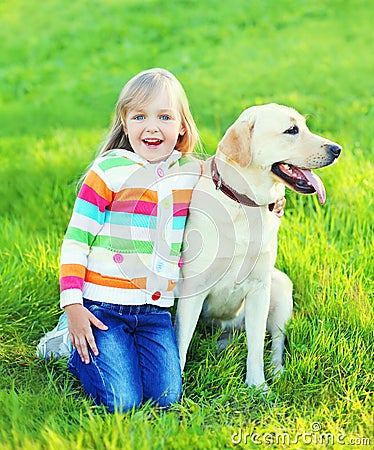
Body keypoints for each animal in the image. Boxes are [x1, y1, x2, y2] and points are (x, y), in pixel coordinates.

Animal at [175, 103, 342, 388]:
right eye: (291, 130)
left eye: (304, 126)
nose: (337, 149)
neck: (246, 204)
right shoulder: (193, 289)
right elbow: (181, 342)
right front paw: (173, 387)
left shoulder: (259, 289)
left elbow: (255, 346)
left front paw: (257, 386)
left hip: (281, 288)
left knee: (276, 340)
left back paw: (276, 370)